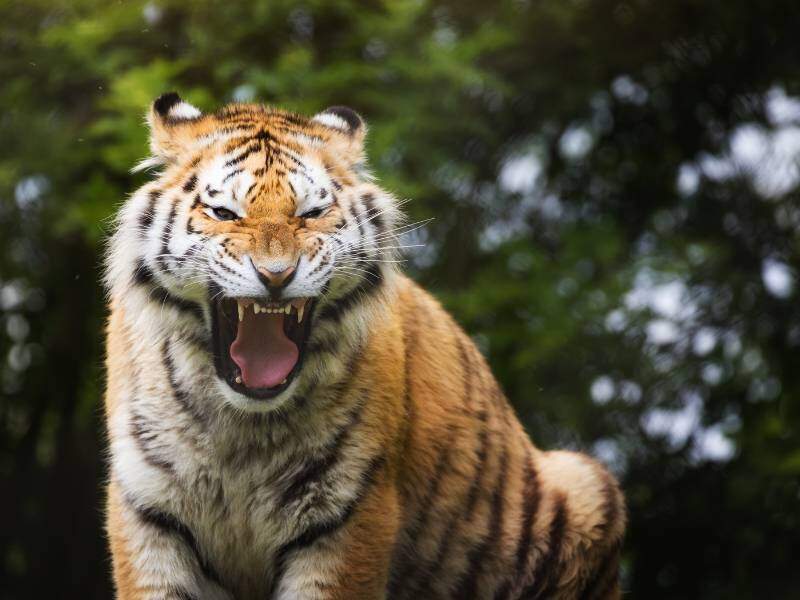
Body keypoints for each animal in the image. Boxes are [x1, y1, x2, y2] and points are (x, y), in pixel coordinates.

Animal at [103, 92, 625, 600]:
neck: (244, 428)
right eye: (224, 214)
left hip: (586, 482)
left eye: (311, 214)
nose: (276, 275)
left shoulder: (348, 513)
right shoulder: (148, 509)